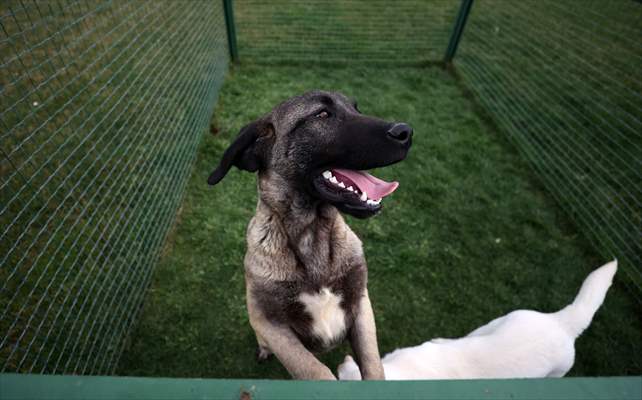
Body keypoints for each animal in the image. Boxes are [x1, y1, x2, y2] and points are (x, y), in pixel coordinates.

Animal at [208, 90, 412, 378]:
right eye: (322, 114)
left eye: (356, 108)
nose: (406, 132)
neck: (313, 234)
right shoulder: (270, 322)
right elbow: (315, 370)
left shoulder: (361, 303)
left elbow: (373, 365)